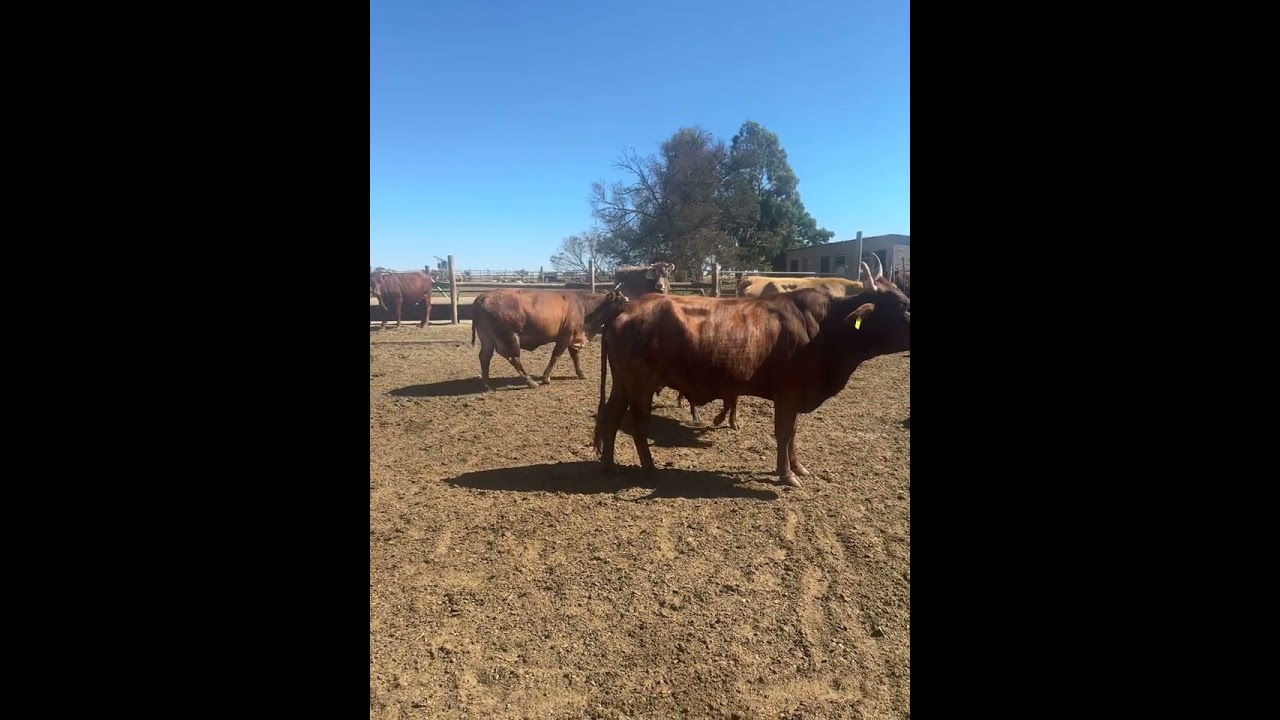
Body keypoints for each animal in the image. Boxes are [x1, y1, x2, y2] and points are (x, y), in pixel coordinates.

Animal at [471, 287, 624, 391]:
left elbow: (575, 356)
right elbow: (555, 356)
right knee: (514, 359)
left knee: (484, 357)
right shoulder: (565, 337)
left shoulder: (573, 337)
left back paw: (486, 383)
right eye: (623, 301)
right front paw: (545, 378)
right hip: (510, 337)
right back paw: (530, 382)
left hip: (487, 338)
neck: (584, 306)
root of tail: (483, 297)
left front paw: (581, 373)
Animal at [594, 259, 909, 487]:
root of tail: (625, 309)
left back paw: (608, 466)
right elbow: (784, 433)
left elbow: (793, 433)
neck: (824, 327)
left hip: (623, 384)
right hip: (640, 385)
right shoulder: (788, 394)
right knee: (637, 426)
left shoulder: (795, 395)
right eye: (901, 307)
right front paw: (786, 473)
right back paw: (650, 469)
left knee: (610, 418)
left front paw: (797, 467)